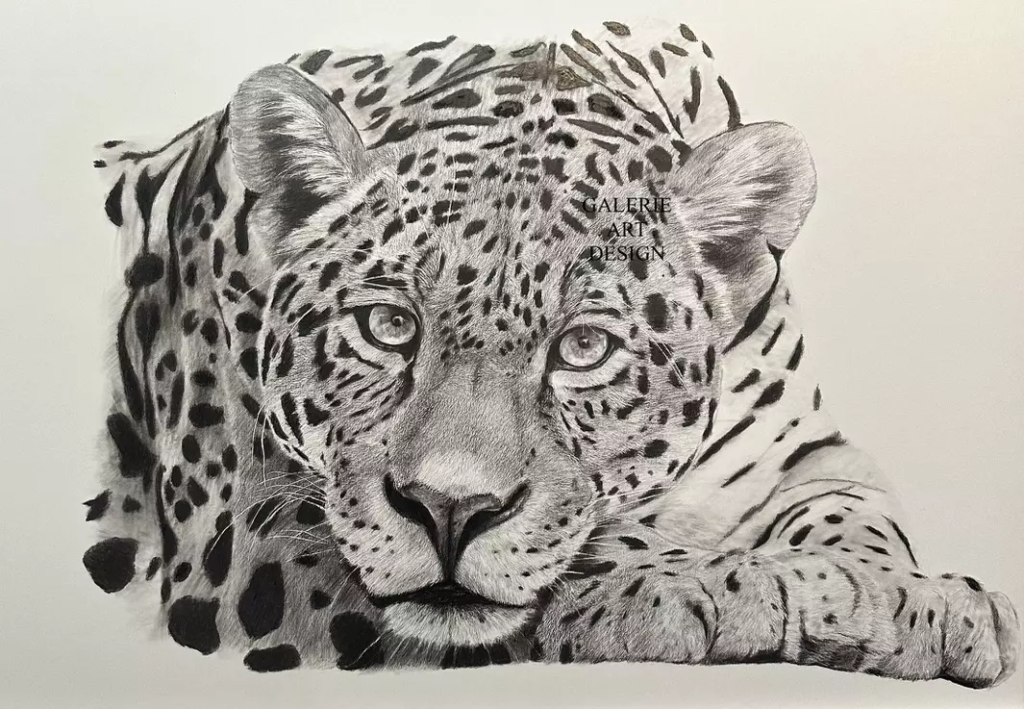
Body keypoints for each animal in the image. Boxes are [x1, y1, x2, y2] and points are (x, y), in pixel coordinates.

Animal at [83, 19, 1020, 684]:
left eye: (584, 347)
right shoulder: (248, 524)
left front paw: (903, 598)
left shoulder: (806, 450)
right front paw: (752, 586)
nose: (448, 510)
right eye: (388, 326)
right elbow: (610, 540)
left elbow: (854, 515)